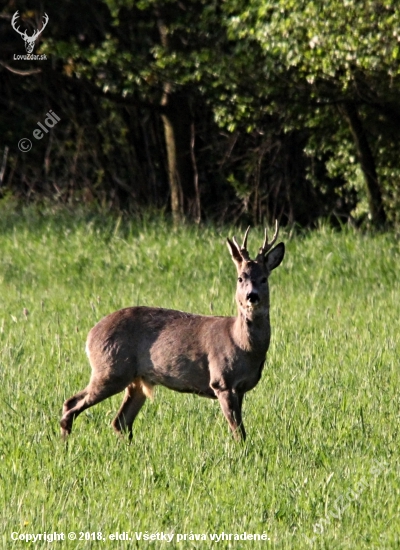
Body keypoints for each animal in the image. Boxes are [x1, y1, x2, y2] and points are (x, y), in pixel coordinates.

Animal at [60, 222, 284, 442]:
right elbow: (239, 432)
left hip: (135, 379)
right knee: (71, 404)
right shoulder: (222, 381)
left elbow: (239, 429)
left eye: (264, 279)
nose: (252, 296)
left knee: (120, 421)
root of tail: (90, 335)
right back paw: (65, 443)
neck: (242, 344)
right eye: (240, 278)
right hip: (110, 368)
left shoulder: (241, 387)